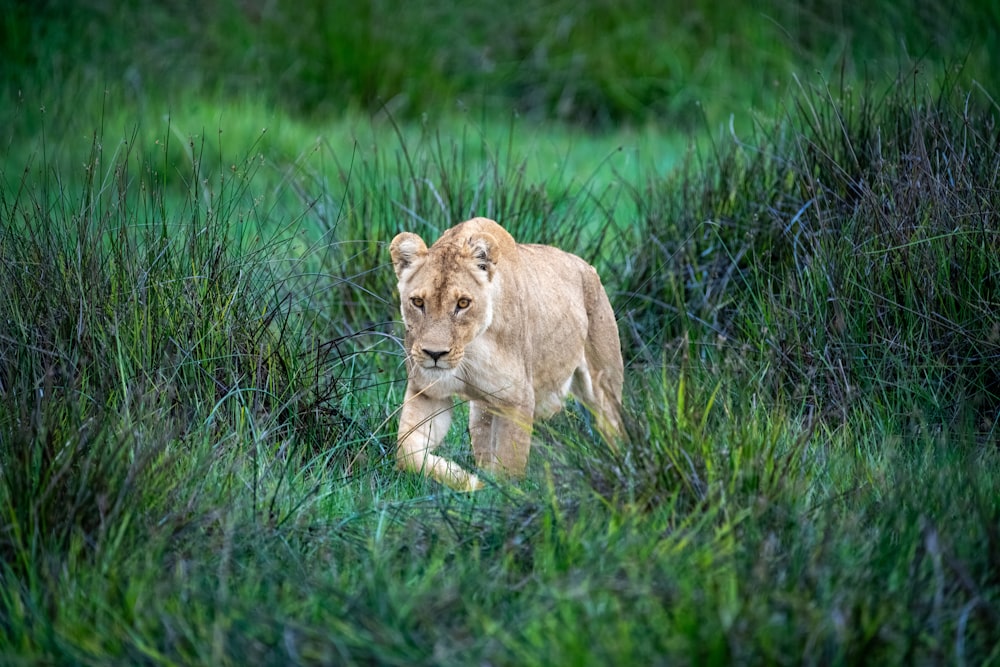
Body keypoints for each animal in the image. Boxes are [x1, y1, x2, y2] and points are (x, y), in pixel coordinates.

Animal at [386, 218, 620, 490]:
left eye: (463, 303)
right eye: (418, 302)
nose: (435, 354)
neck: (469, 351)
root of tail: (586, 266)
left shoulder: (518, 399)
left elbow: (510, 466)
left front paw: (500, 490)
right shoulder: (428, 392)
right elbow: (407, 452)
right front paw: (468, 481)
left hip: (605, 387)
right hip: (482, 410)